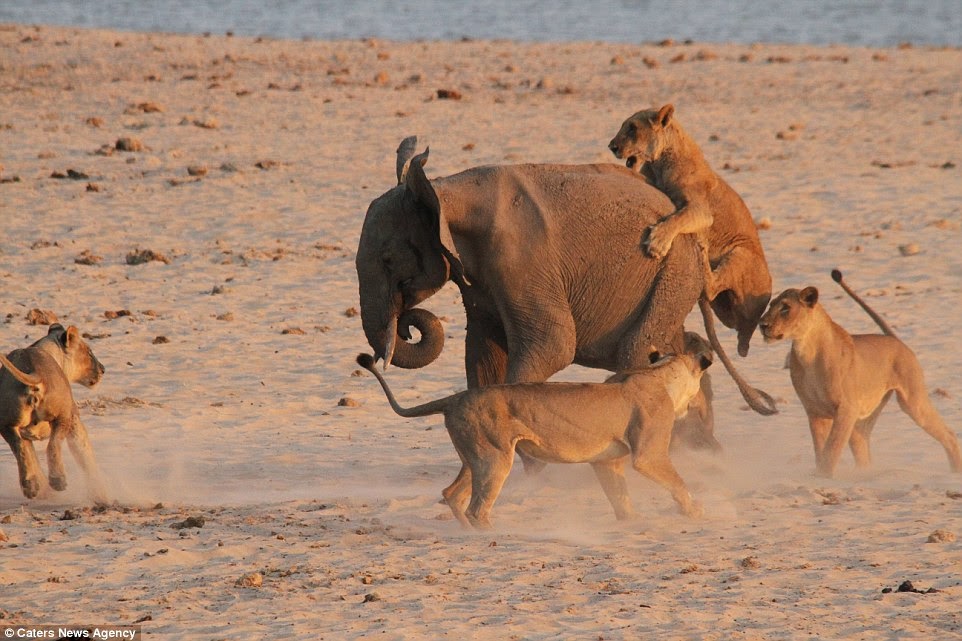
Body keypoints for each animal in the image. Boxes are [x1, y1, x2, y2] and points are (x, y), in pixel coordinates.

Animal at [756, 268, 960, 476]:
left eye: (785, 308)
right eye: (770, 305)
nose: (762, 325)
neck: (807, 351)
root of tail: (894, 339)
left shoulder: (846, 409)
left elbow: (832, 448)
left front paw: (824, 476)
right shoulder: (814, 412)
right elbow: (820, 450)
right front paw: (819, 475)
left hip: (913, 402)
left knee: (949, 434)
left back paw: (955, 470)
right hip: (861, 423)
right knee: (863, 451)